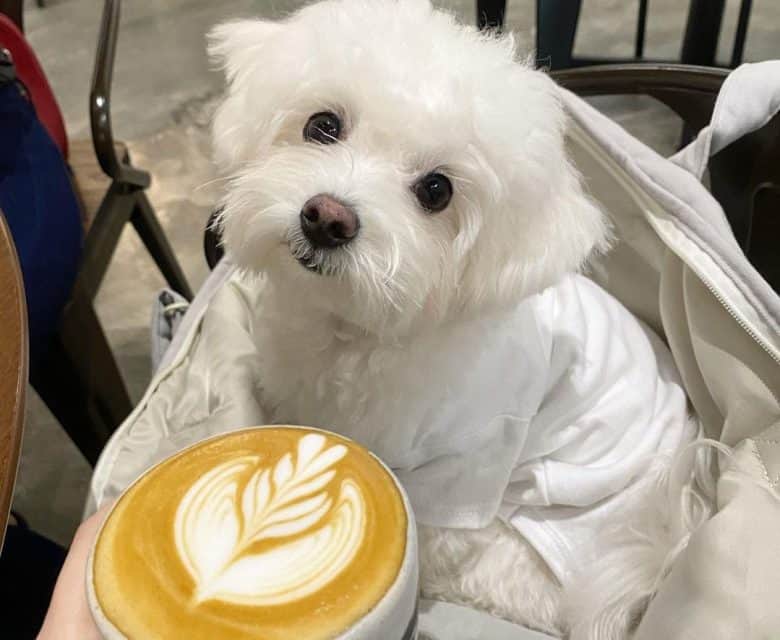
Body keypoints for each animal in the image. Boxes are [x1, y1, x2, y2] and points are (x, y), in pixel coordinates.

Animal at [210, 2, 708, 636]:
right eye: (322, 126)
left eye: (436, 190)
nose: (327, 217)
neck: (355, 330)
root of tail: (665, 534)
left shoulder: (470, 458)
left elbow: (431, 529)